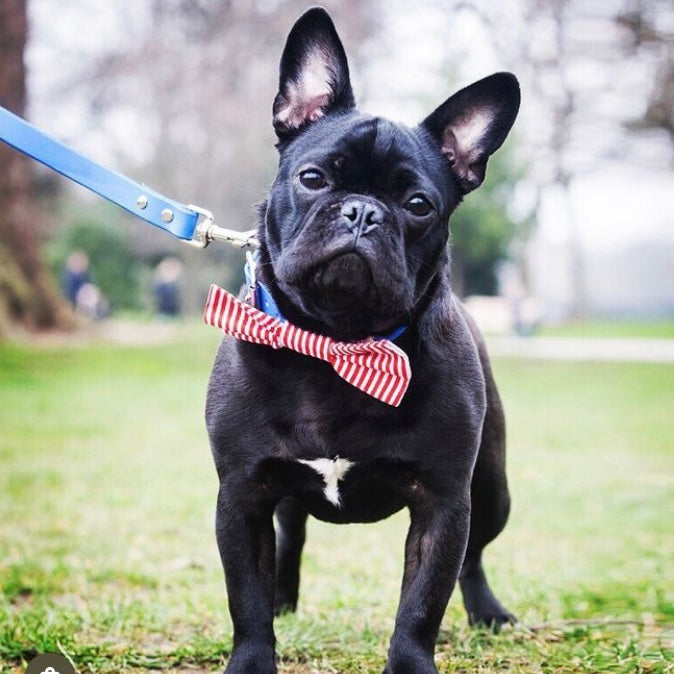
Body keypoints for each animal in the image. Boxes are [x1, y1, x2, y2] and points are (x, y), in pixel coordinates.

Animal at [205, 6, 520, 672]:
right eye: (313, 177)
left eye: (420, 204)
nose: (363, 212)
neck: (336, 342)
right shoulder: (242, 493)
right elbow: (245, 594)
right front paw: (253, 656)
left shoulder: (443, 502)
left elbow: (421, 603)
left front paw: (411, 664)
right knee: (291, 539)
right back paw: (285, 601)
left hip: (491, 488)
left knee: (475, 557)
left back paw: (487, 612)